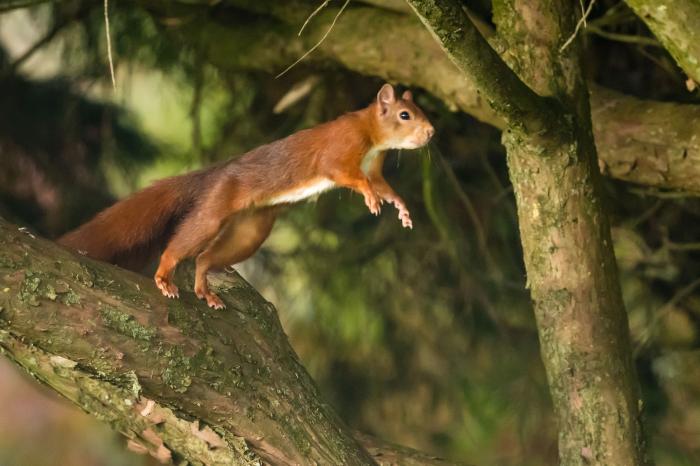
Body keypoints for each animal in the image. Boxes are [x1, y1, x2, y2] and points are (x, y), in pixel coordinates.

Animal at [58, 84, 432, 310]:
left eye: (419, 111)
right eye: (405, 115)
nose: (431, 132)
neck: (373, 138)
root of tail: (216, 173)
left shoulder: (375, 168)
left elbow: (383, 185)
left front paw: (401, 208)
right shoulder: (340, 149)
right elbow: (346, 174)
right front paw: (370, 199)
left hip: (250, 231)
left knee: (205, 258)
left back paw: (206, 292)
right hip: (214, 212)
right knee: (181, 245)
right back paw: (165, 278)